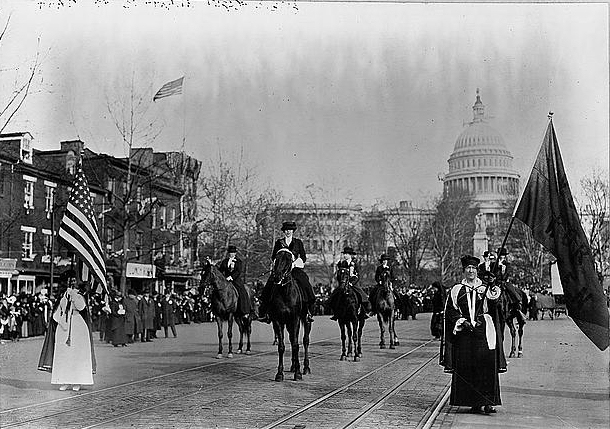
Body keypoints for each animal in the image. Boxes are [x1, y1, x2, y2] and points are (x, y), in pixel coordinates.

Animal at [268, 247, 312, 382]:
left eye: (288, 260)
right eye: (276, 258)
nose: (277, 277)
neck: (285, 292)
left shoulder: (295, 319)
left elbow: (296, 345)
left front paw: (298, 374)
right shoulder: (278, 321)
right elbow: (282, 346)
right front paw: (279, 373)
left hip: (306, 320)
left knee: (305, 340)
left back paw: (305, 367)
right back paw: (293, 366)